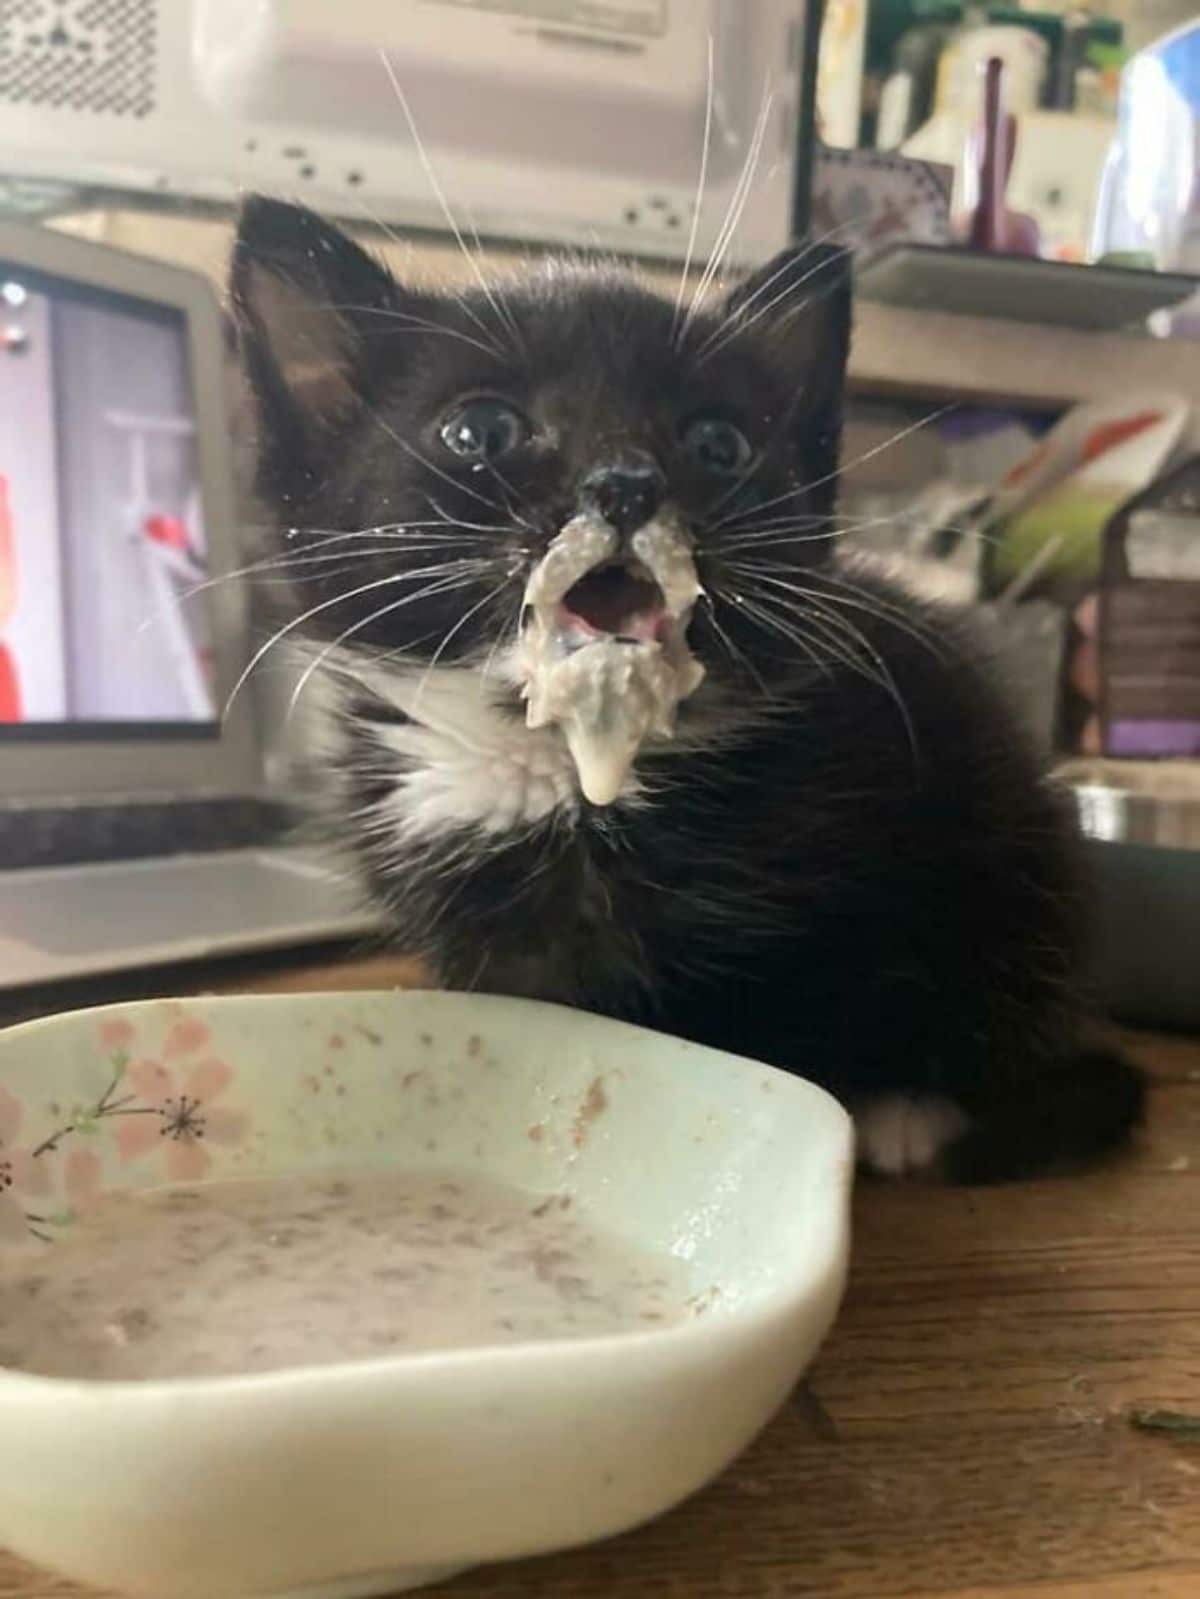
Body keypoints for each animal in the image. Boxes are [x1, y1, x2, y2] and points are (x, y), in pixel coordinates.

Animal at [230, 193, 1139, 1183]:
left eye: (719, 442)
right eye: (481, 432)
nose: (627, 481)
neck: (560, 772)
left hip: (1023, 858)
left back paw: (915, 1111)